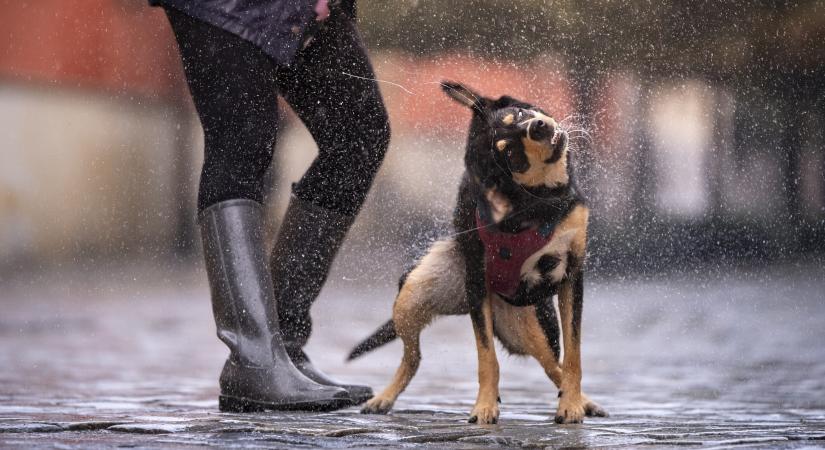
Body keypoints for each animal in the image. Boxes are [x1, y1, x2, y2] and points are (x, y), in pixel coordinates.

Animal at [348, 81, 604, 426]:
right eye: (511, 154)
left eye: (519, 115)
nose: (538, 127)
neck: (540, 201)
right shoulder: (476, 281)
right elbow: (486, 357)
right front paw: (484, 406)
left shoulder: (571, 274)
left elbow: (574, 353)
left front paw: (572, 405)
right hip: (415, 294)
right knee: (413, 358)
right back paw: (384, 397)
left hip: (534, 325)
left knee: (554, 364)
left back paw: (584, 401)